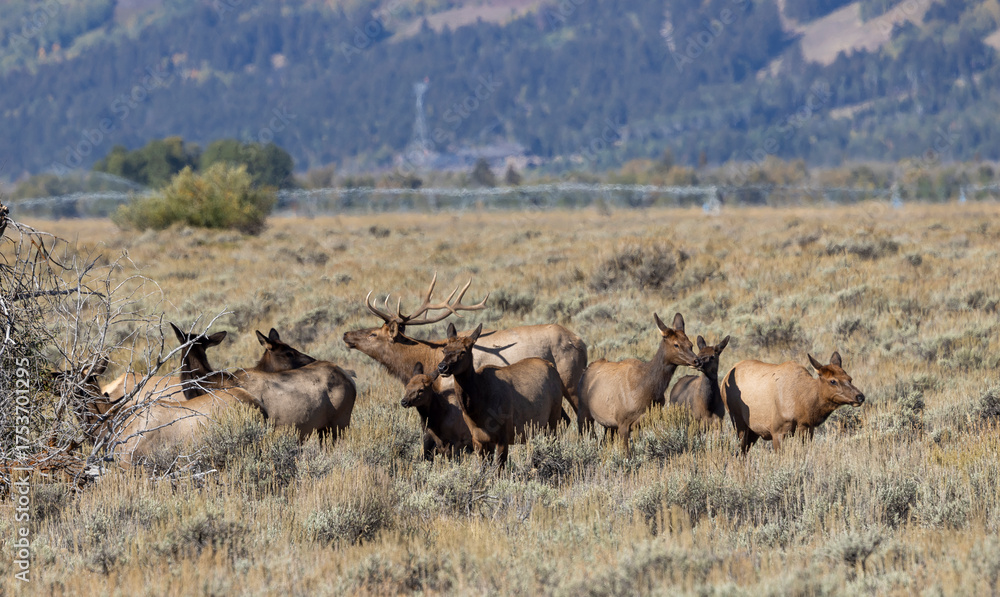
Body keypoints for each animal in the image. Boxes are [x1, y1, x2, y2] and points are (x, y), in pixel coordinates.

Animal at [435, 322, 568, 468]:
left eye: (463, 351)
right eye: (444, 350)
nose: (442, 367)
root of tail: (553, 368)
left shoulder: (503, 436)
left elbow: (499, 468)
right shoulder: (478, 439)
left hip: (553, 418)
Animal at [577, 313, 698, 454]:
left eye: (691, 344)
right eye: (676, 345)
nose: (696, 360)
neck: (646, 391)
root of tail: (586, 370)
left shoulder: (640, 423)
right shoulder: (622, 421)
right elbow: (627, 453)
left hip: (608, 425)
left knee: (603, 442)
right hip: (584, 411)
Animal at [721, 351, 865, 453]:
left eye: (850, 378)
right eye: (833, 381)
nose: (860, 396)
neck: (803, 405)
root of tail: (724, 378)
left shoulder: (807, 429)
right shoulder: (777, 431)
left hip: (753, 430)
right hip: (738, 420)